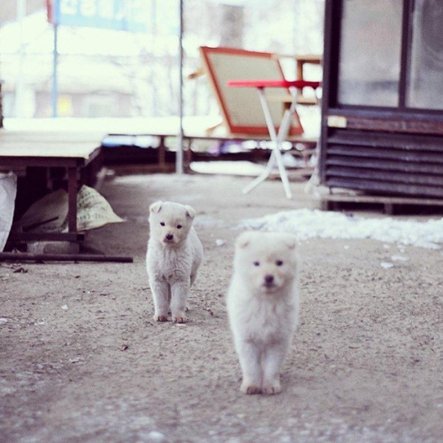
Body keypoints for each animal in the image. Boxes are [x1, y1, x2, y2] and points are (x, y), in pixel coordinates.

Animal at [226, 230, 299, 394]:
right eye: (256, 263)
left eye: (279, 263)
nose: (269, 277)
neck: (265, 302)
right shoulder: (247, 338)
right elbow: (251, 366)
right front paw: (251, 386)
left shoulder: (278, 339)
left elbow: (272, 366)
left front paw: (270, 386)